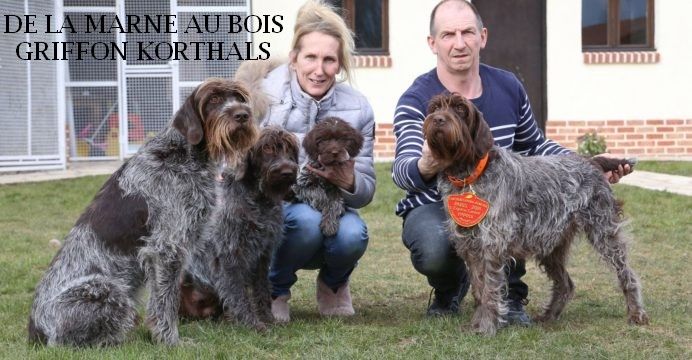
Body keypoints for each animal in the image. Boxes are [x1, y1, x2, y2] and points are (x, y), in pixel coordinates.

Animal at [26, 78, 260, 346]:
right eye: (213, 99)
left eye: (240, 98)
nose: (242, 115)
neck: (184, 154)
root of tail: (35, 329)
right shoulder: (165, 249)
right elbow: (166, 302)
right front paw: (170, 342)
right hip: (106, 290)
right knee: (67, 342)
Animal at [422, 93, 648, 334]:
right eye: (435, 108)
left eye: (460, 109)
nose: (438, 119)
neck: (467, 174)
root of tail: (590, 161)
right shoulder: (470, 246)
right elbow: (479, 290)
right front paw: (477, 323)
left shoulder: (491, 244)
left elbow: (490, 291)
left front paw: (487, 326)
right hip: (552, 244)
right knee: (565, 284)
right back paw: (549, 316)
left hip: (604, 233)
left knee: (627, 275)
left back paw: (636, 313)